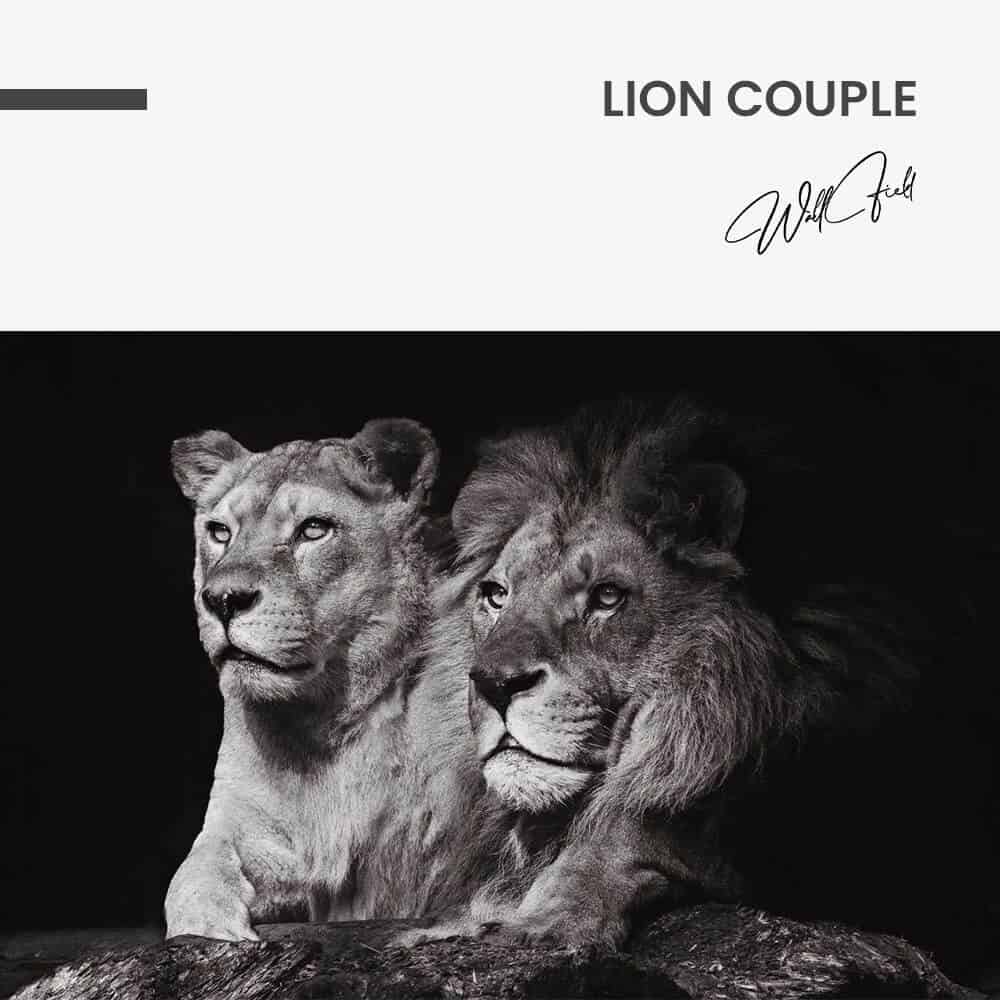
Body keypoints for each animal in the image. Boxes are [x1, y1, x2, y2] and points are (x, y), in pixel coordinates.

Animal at [164, 418, 503, 941]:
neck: (326, 721)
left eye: (314, 529)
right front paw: (210, 928)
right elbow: (191, 874)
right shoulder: (243, 822)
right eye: (219, 532)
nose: (221, 599)